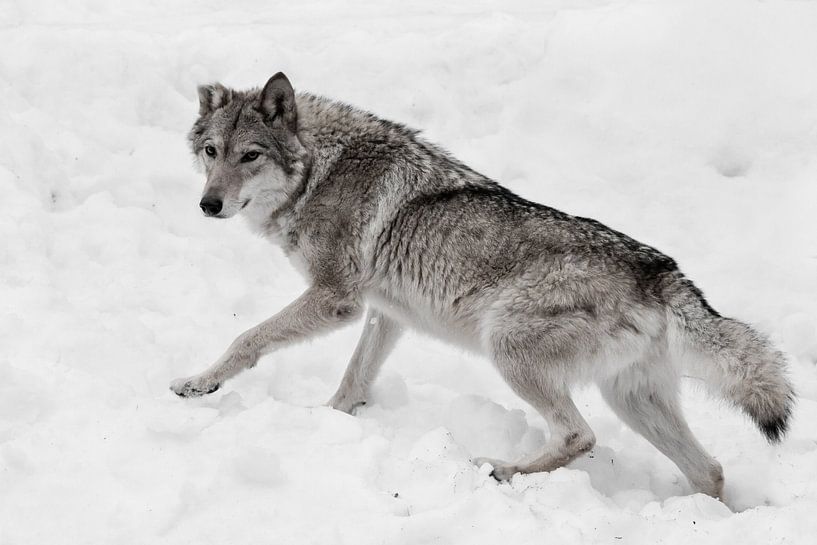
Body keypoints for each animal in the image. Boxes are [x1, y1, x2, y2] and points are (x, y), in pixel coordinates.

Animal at [170, 72, 794, 497]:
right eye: (211, 152)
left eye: (250, 156)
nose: (207, 205)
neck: (318, 171)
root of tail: (662, 272)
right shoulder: (386, 313)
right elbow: (353, 380)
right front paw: (330, 421)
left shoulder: (336, 299)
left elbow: (247, 339)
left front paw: (200, 384)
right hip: (631, 398)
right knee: (708, 470)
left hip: (509, 349)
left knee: (580, 437)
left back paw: (500, 470)